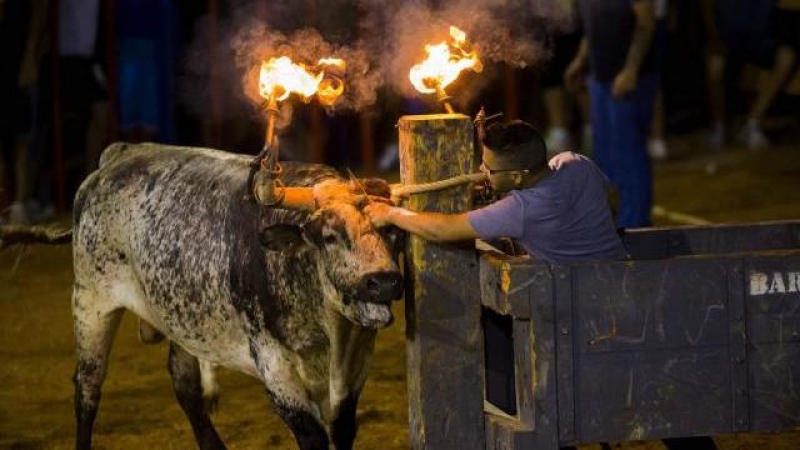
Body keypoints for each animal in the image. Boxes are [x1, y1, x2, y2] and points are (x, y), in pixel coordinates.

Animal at [69, 142, 404, 448]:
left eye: (391, 231)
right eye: (329, 236)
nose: (384, 282)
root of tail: (118, 154)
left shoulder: (355, 366)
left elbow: (343, 429)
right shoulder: (275, 366)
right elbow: (312, 436)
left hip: (181, 318)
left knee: (184, 384)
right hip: (91, 303)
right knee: (87, 387)